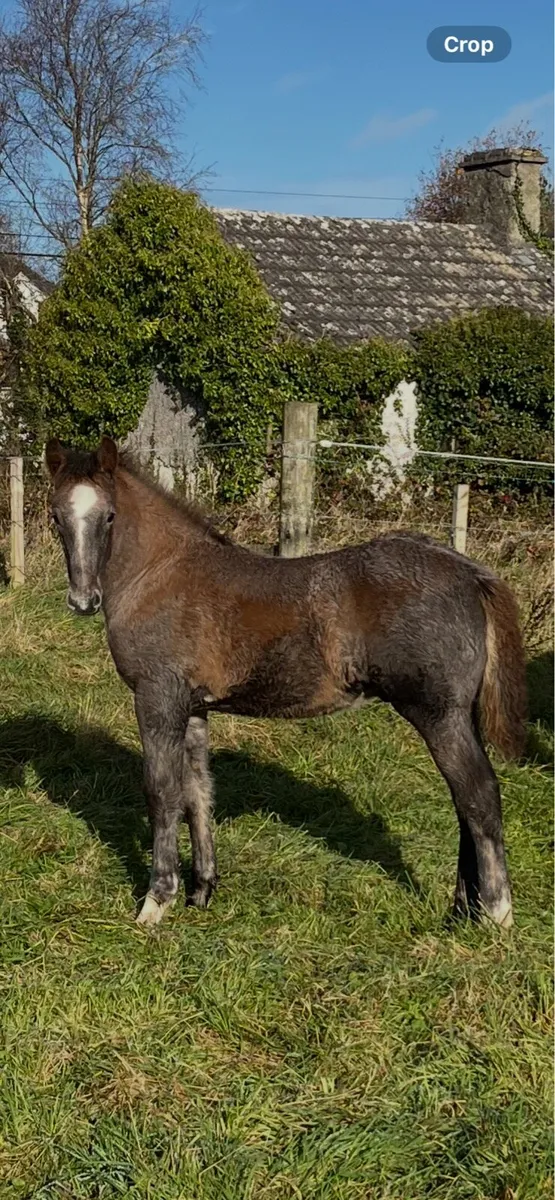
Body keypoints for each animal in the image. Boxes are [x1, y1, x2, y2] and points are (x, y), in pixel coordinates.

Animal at [45, 435, 527, 930]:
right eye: (55, 515)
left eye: (109, 516)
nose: (83, 601)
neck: (161, 574)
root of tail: (469, 572)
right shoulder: (194, 708)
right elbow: (198, 792)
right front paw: (202, 890)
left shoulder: (157, 698)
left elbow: (162, 793)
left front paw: (156, 902)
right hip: (460, 716)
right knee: (463, 803)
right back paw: (461, 911)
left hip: (437, 714)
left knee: (479, 796)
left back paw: (496, 914)